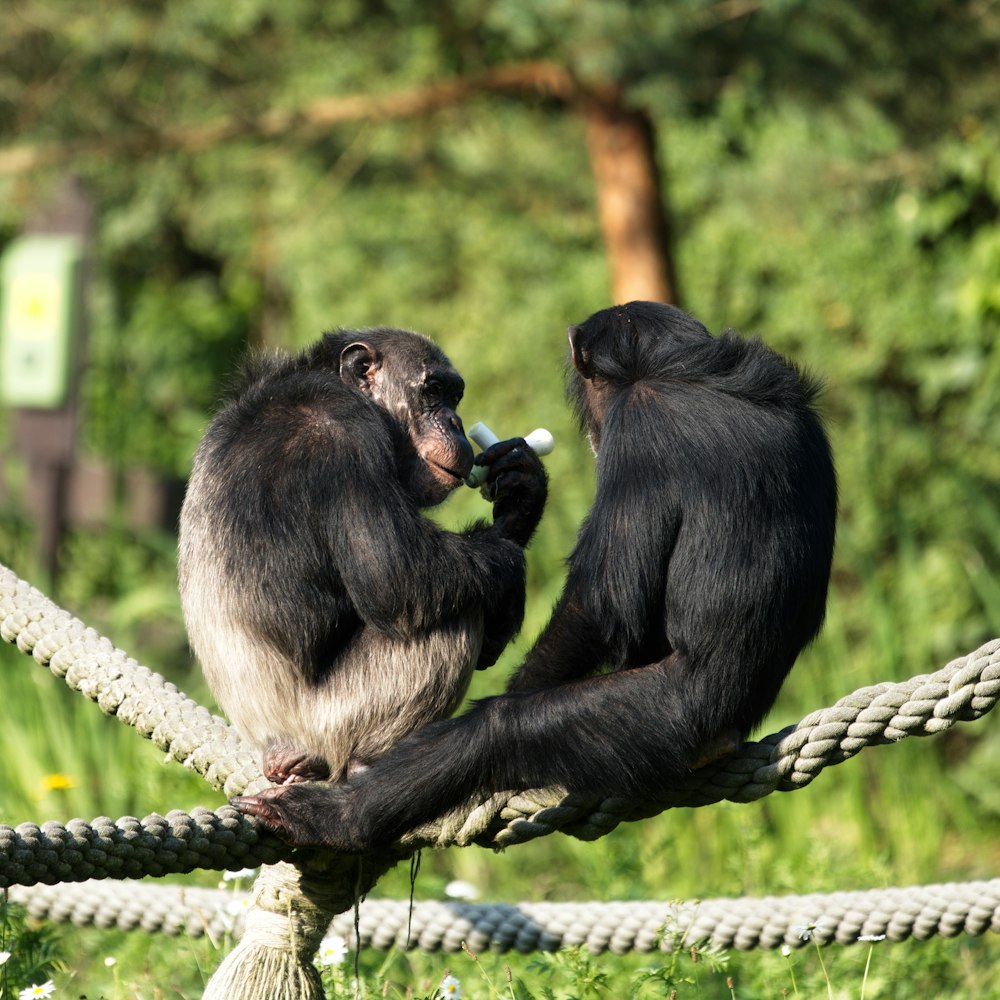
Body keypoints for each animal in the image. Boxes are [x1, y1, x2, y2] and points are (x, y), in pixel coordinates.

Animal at [180, 328, 548, 788]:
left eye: (454, 396)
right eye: (432, 392)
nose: (455, 422)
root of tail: (271, 752)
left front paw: (523, 488)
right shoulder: (344, 432)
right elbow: (398, 577)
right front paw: (510, 575)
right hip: (336, 719)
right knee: (453, 615)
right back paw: (370, 765)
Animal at [232, 300, 836, 848]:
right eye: (435, 397)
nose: (455, 422)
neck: (691, 369)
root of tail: (728, 731)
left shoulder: (638, 423)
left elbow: (600, 604)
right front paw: (519, 485)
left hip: (665, 719)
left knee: (498, 731)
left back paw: (340, 816)